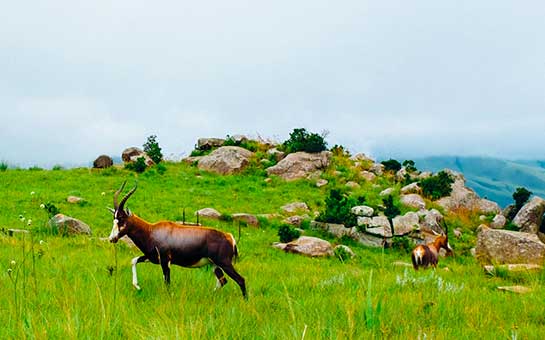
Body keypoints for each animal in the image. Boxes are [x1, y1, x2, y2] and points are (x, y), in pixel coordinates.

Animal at [107, 181, 245, 298]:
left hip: (224, 263)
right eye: (114, 219)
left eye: (121, 219)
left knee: (240, 280)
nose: (111, 238)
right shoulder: (152, 258)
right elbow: (133, 260)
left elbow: (167, 282)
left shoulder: (165, 261)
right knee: (223, 281)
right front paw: (138, 286)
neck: (151, 231)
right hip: (214, 265)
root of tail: (229, 237)